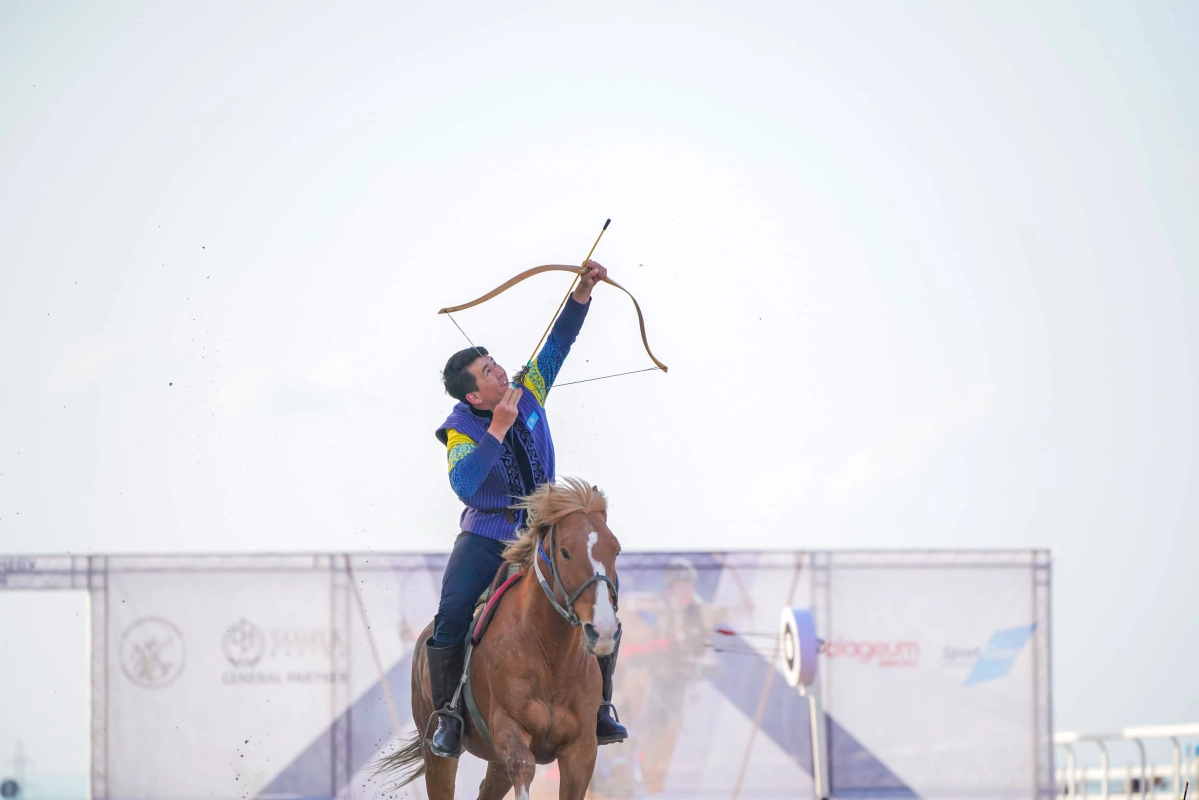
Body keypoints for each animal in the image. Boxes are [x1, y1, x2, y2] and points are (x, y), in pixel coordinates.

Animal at [381, 479, 628, 800]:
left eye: (616, 550)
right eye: (565, 552)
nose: (604, 630)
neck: (550, 657)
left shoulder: (581, 750)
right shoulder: (509, 734)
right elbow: (523, 767)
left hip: (495, 767)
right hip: (436, 753)